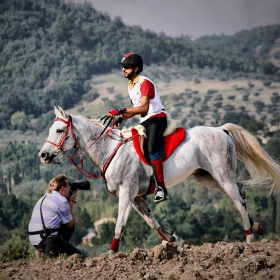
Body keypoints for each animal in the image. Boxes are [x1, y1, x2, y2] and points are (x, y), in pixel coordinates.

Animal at [38, 106, 280, 253]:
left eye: (59, 130)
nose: (43, 155)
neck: (110, 149)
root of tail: (221, 130)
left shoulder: (127, 193)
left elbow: (119, 225)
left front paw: (111, 253)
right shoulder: (137, 198)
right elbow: (152, 222)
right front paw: (174, 240)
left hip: (222, 175)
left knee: (237, 200)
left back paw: (249, 238)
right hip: (206, 177)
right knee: (240, 191)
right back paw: (256, 226)